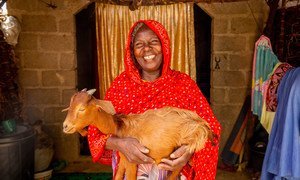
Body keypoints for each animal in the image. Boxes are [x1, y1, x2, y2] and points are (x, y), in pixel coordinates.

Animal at [62, 89, 212, 179]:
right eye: (70, 106)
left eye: (82, 109)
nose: (65, 126)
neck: (120, 126)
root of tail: (201, 124)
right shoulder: (124, 157)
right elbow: (118, 176)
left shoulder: (132, 162)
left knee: (179, 166)